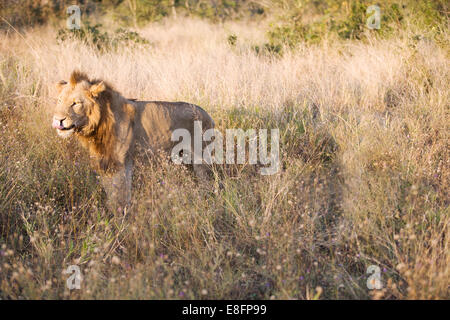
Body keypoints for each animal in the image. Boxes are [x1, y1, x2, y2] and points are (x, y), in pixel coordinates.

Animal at [52, 71, 214, 211]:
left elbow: (120, 195)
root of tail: (208, 115)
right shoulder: (106, 162)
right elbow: (111, 193)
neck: (98, 124)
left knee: (208, 183)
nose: (58, 120)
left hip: (201, 159)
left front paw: (121, 218)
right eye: (59, 100)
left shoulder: (121, 163)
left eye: (76, 103)